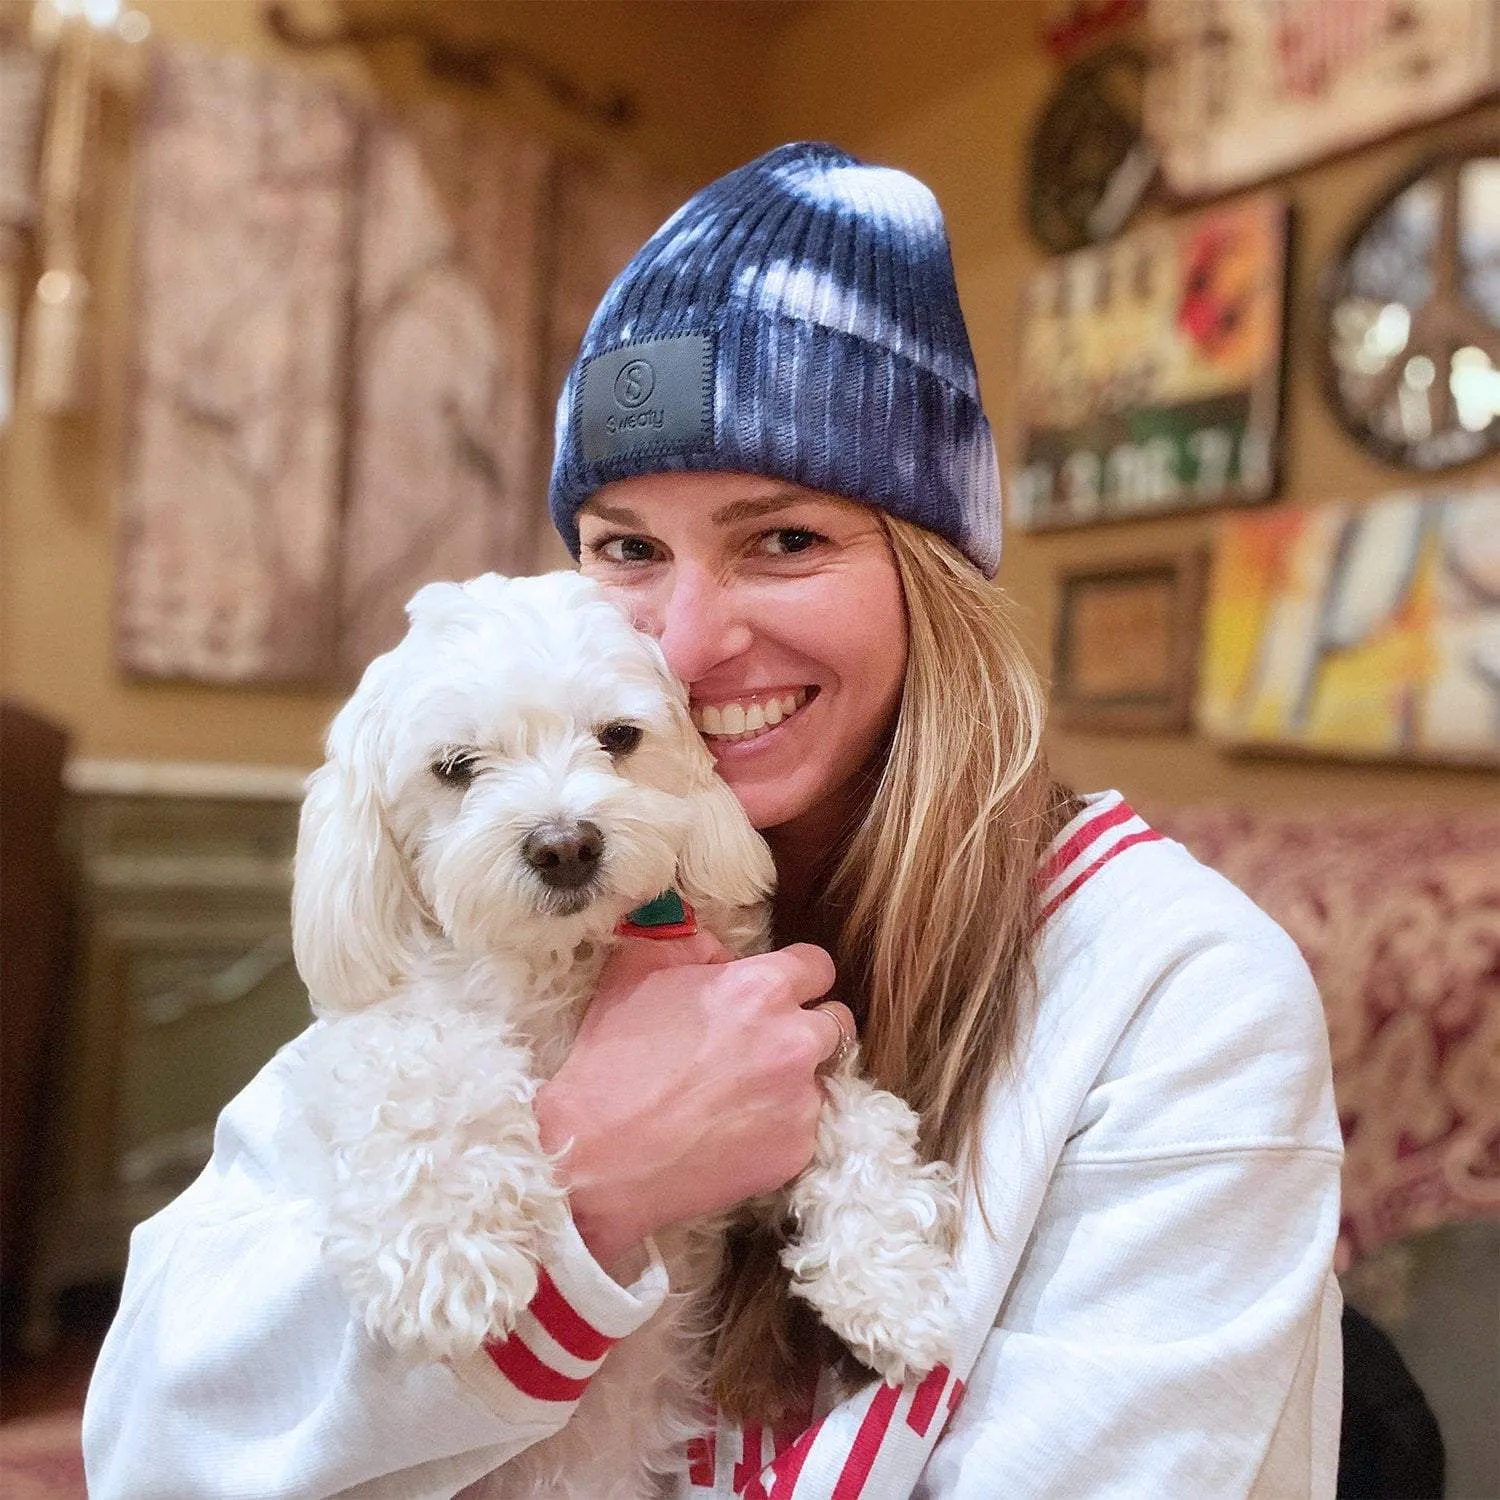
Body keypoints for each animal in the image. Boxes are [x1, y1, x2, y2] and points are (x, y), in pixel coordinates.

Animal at [289, 570, 960, 1488]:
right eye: (455, 767)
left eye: (619, 737)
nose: (565, 845)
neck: (569, 960)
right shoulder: (389, 1035)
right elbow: (427, 1074)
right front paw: (449, 1259)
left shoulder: (776, 1095)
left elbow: (861, 1127)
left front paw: (893, 1287)